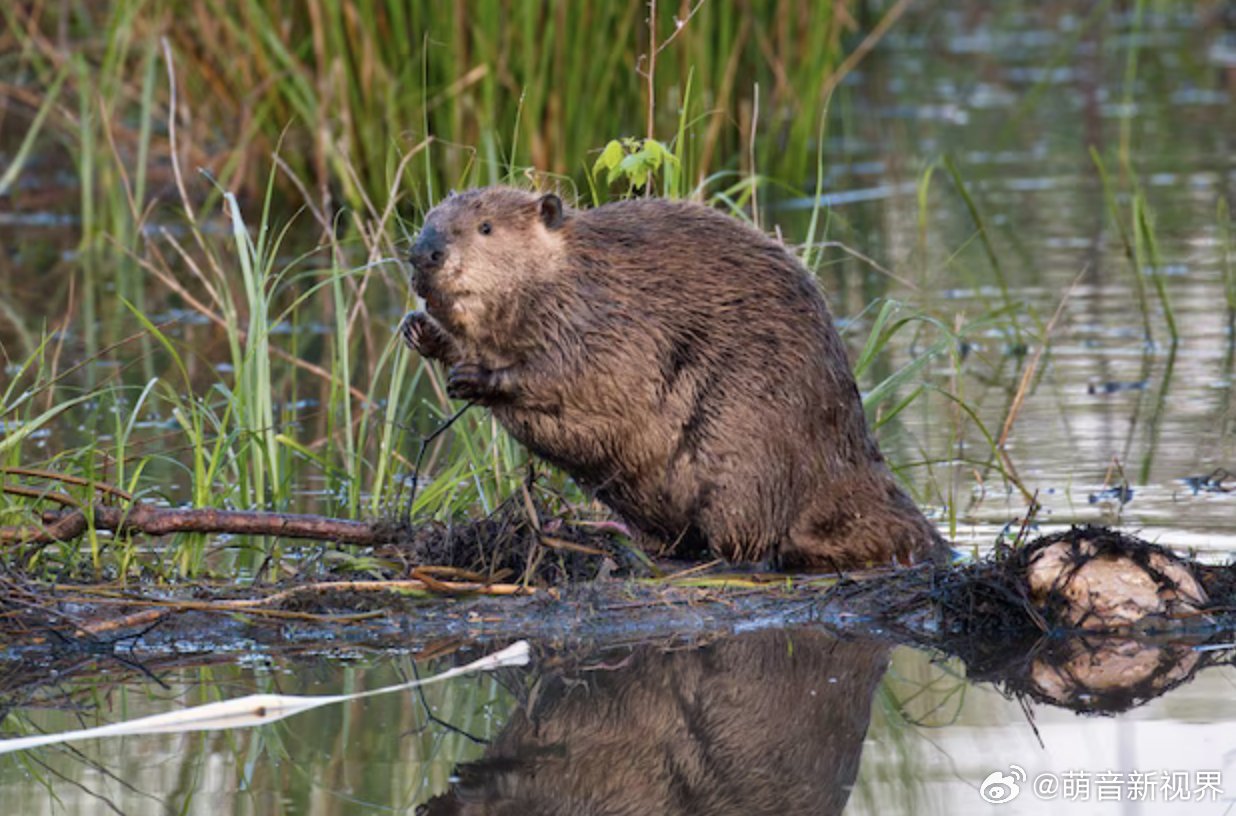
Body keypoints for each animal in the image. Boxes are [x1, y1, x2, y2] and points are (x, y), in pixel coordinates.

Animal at [400, 185, 939, 571]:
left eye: (485, 227)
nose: (425, 253)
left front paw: (475, 376)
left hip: (745, 451)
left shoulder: (610, 319)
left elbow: (580, 372)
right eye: (428, 221)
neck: (572, 271)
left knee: (752, 540)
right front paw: (418, 329)